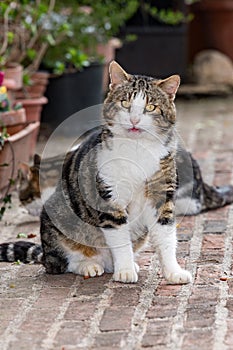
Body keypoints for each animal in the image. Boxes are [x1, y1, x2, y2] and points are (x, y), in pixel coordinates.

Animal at [0, 60, 233, 284]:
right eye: (125, 103)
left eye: (151, 106)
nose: (135, 120)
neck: (137, 149)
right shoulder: (110, 197)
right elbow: (120, 238)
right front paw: (126, 271)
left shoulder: (162, 195)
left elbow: (166, 237)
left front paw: (173, 272)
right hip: (56, 220)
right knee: (61, 262)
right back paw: (90, 265)